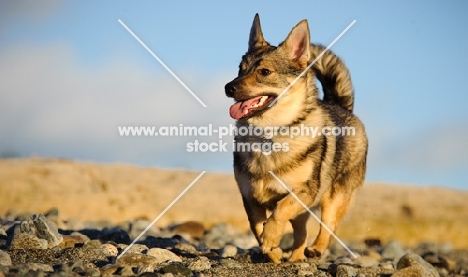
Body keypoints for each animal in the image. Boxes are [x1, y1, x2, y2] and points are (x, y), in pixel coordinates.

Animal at [225, 14, 368, 262]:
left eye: (264, 72)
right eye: (240, 69)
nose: (228, 87)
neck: (268, 135)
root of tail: (339, 105)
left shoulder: (303, 192)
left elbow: (279, 210)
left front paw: (271, 238)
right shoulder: (250, 197)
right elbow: (256, 227)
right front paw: (272, 250)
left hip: (335, 197)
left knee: (328, 226)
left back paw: (316, 249)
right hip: (305, 212)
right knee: (301, 233)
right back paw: (296, 256)